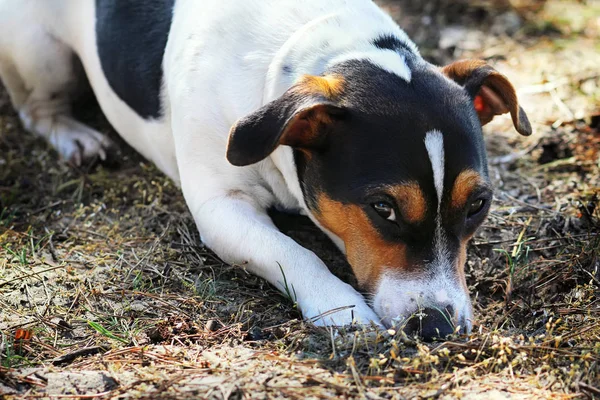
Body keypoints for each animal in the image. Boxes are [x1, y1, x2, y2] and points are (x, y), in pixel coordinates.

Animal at [1, 0, 528, 340]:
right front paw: (342, 308)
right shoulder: (222, 209)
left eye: (478, 205)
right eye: (383, 208)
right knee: (35, 108)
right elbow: (295, 253)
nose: (440, 327)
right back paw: (75, 136)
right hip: (40, 56)